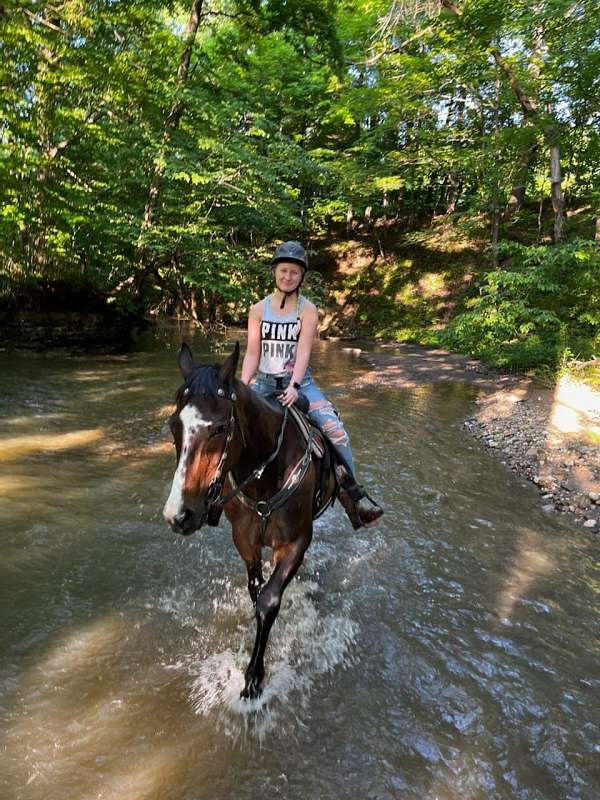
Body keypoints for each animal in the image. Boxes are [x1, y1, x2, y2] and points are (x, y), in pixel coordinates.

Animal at [162, 340, 338, 696]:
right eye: (174, 425)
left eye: (220, 428)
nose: (178, 515)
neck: (265, 473)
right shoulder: (244, 538)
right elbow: (256, 591)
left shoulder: (296, 541)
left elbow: (269, 601)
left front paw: (254, 677)